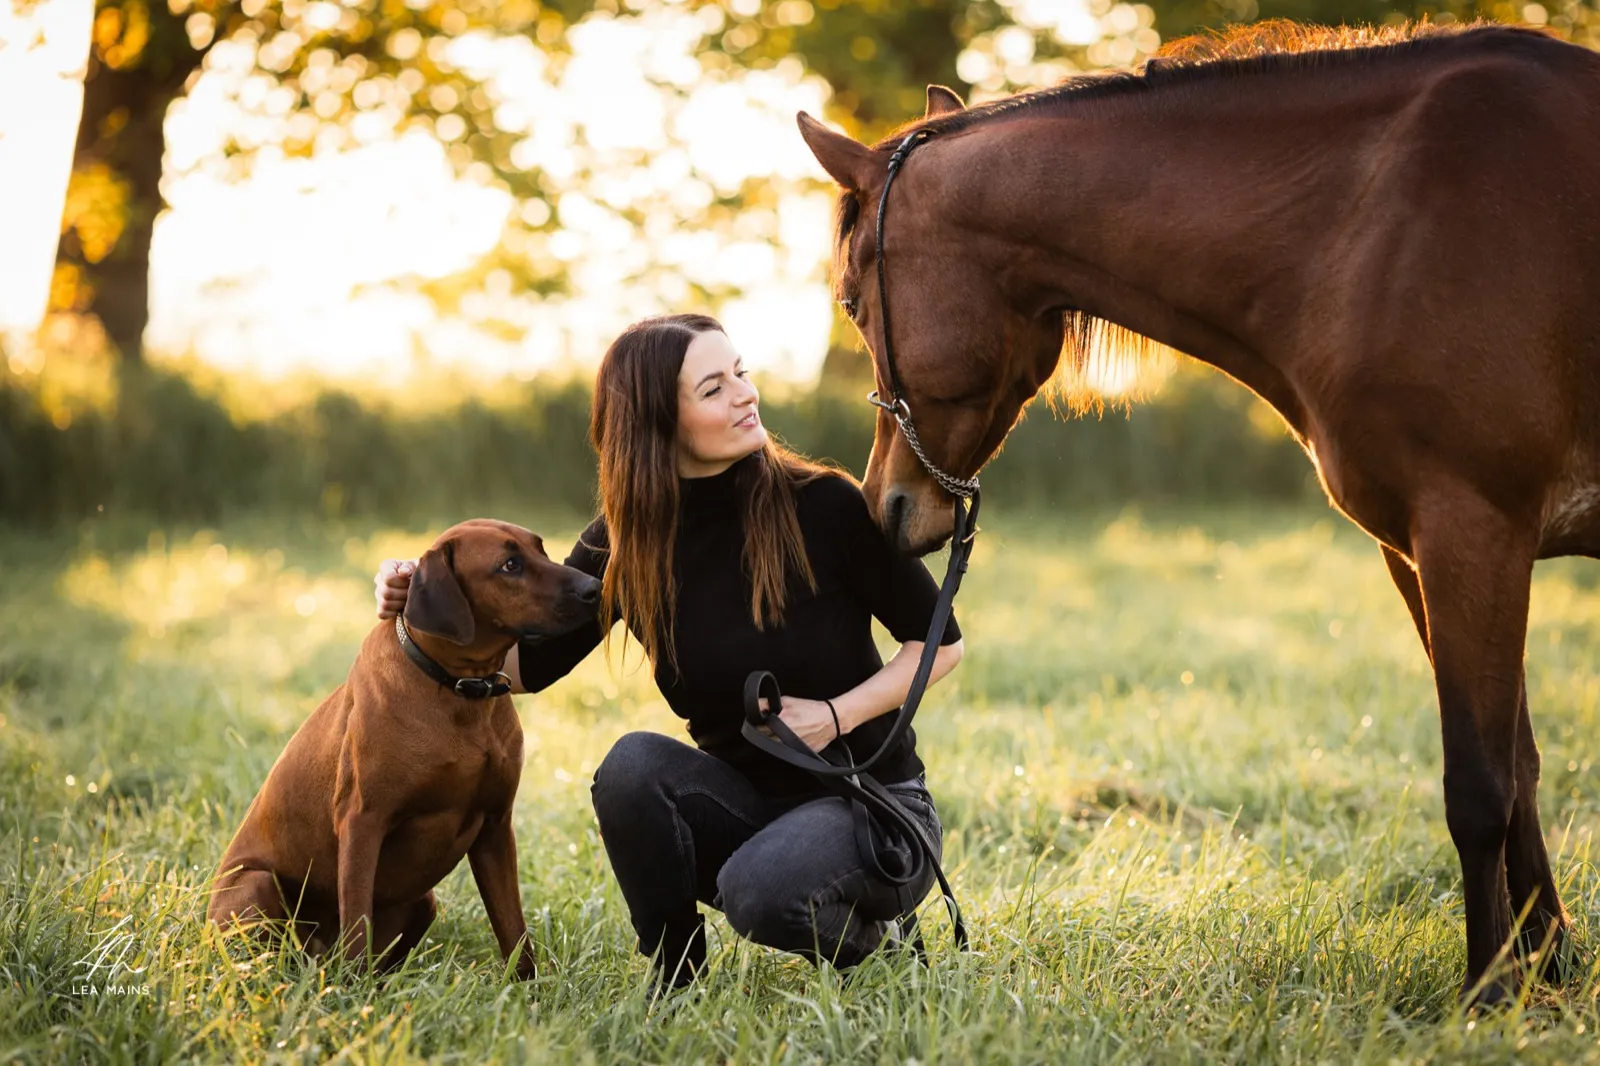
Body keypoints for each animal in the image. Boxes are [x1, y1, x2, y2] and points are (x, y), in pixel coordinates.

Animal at [797, 21, 1600, 1004]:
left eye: (851, 301)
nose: (887, 505)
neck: (1379, 220)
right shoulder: (1426, 551)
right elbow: (1521, 768)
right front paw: (1547, 969)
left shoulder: (1471, 529)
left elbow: (1481, 786)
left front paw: (1487, 994)